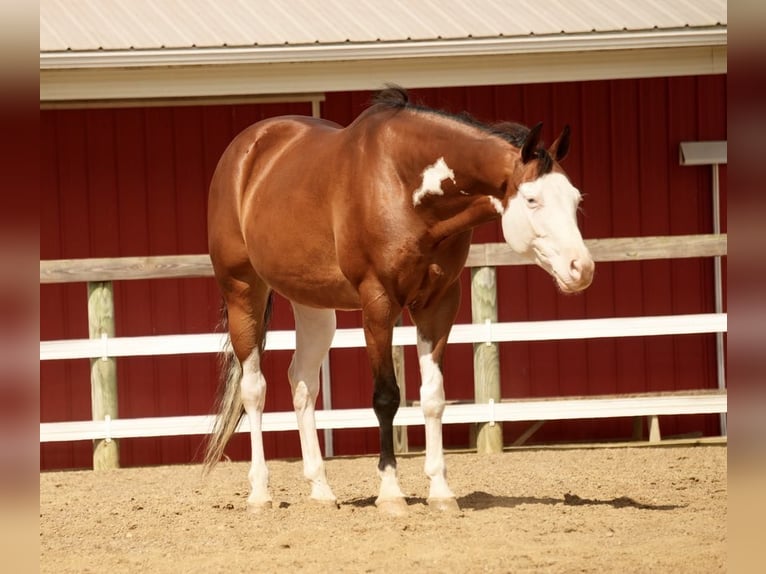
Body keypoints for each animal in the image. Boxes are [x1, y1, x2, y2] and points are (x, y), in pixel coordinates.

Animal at [202, 86, 592, 516]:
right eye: (532, 199)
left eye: (575, 199)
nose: (582, 268)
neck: (402, 187)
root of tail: (246, 150)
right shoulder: (379, 303)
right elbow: (386, 397)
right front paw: (390, 493)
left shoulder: (438, 304)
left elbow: (433, 397)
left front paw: (441, 491)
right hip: (243, 291)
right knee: (254, 389)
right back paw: (260, 494)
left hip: (313, 304)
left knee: (302, 382)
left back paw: (321, 490)